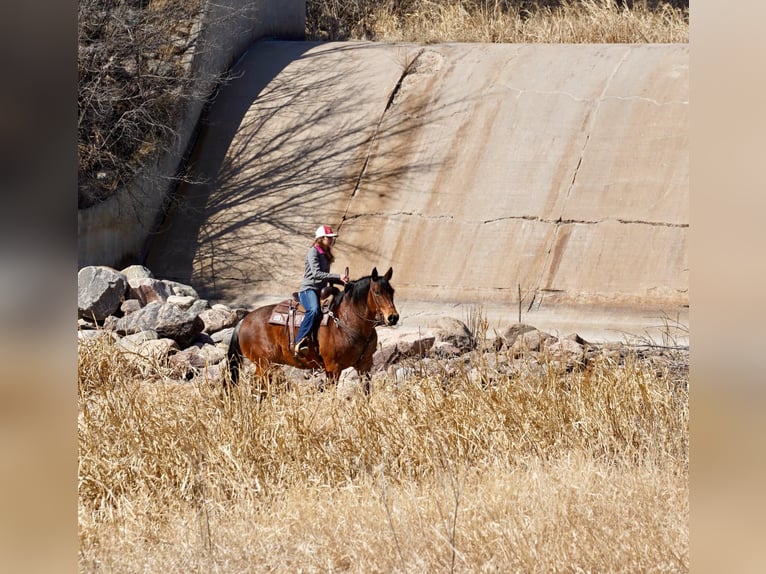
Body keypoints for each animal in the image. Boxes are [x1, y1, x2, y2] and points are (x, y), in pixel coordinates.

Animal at [225, 266, 400, 394]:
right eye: (377, 292)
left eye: (392, 291)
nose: (393, 317)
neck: (347, 322)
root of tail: (243, 321)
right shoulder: (333, 369)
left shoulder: (365, 366)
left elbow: (366, 393)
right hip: (264, 365)